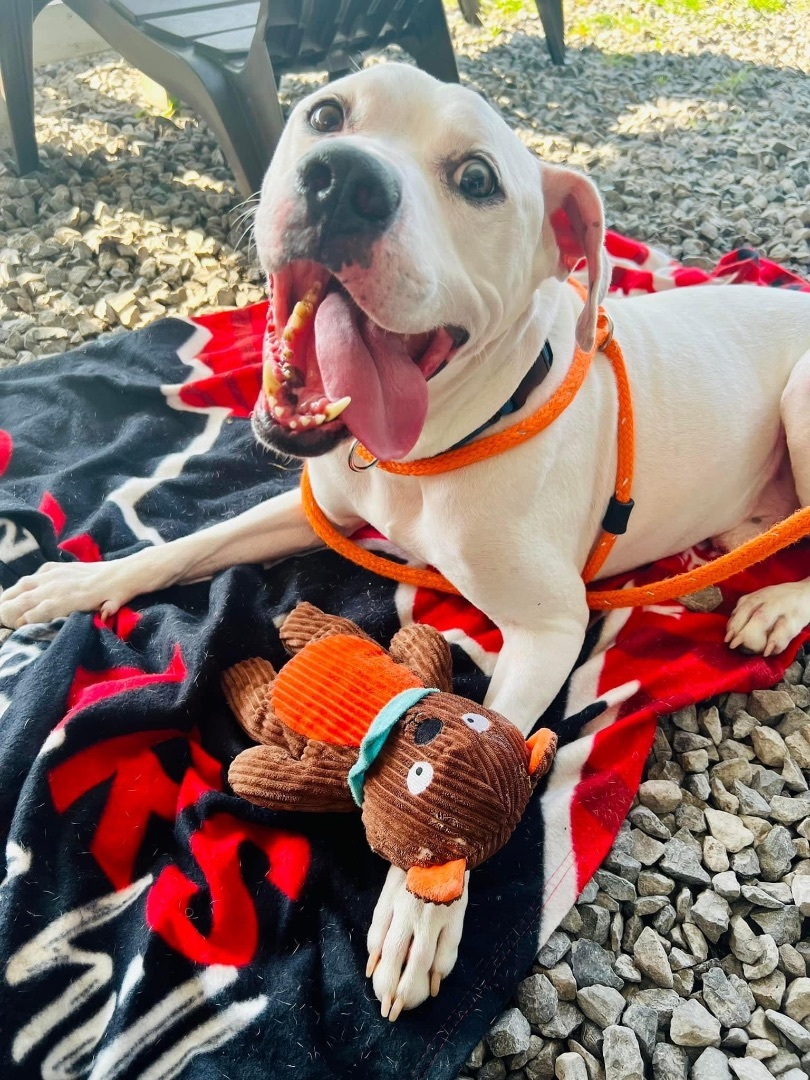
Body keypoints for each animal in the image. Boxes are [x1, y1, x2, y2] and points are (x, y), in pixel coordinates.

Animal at [1, 63, 810, 1015]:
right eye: (326, 114)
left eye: (478, 180)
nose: (343, 180)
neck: (426, 454)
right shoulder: (316, 503)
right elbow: (190, 543)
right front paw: (73, 584)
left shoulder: (550, 627)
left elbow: (486, 732)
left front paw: (421, 907)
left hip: (802, 396)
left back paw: (770, 601)